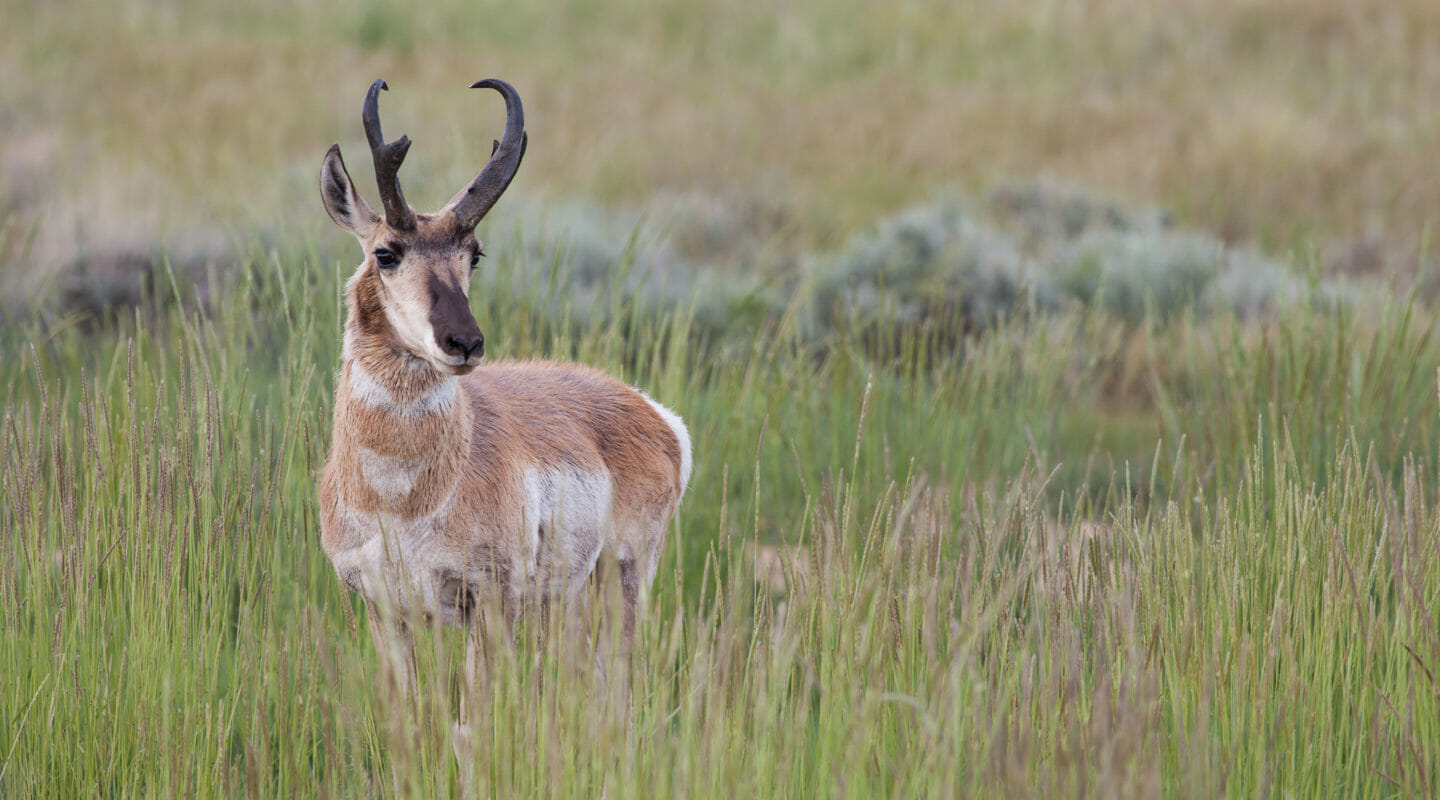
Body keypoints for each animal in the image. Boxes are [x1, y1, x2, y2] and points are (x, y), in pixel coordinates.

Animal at [316, 76, 696, 699]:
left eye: (475, 254)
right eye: (386, 253)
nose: (465, 342)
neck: (403, 497)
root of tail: (652, 411)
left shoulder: (490, 602)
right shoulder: (383, 610)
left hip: (623, 576)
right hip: (569, 600)